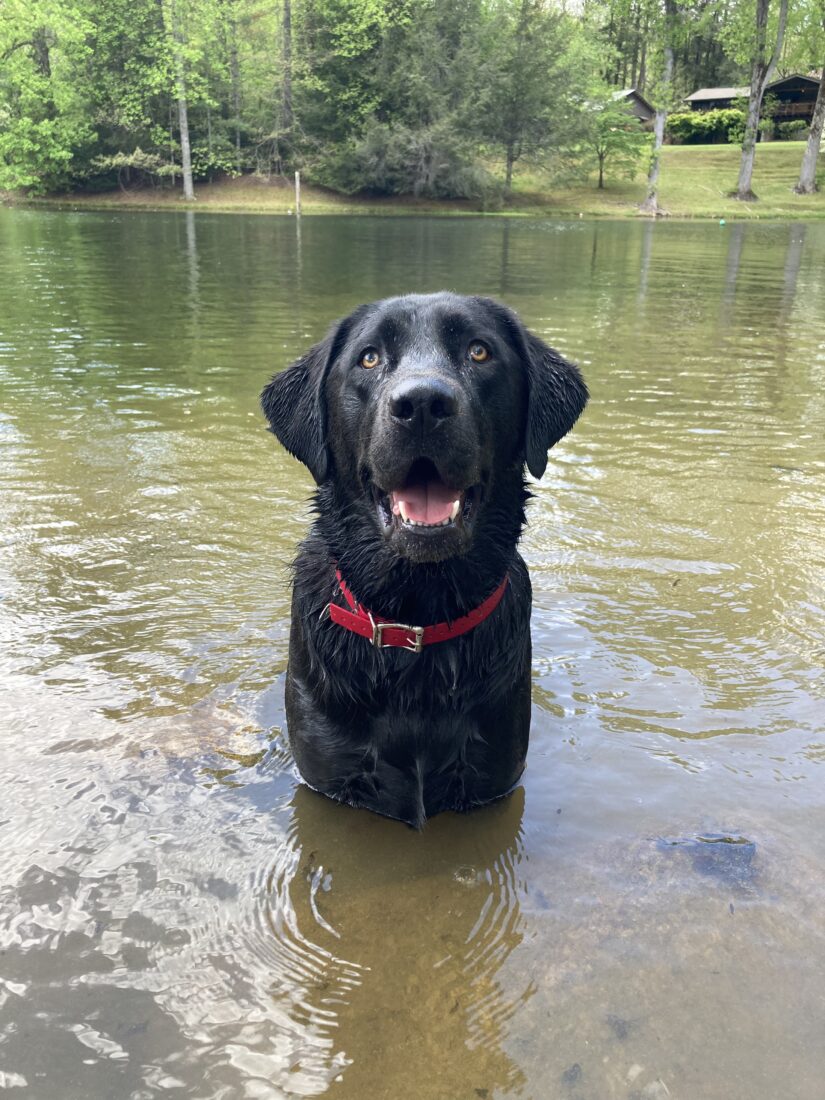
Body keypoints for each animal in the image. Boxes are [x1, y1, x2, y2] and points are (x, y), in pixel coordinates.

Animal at [261, 292, 589, 827]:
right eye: (369, 358)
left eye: (479, 351)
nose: (421, 406)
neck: (415, 615)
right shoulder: (329, 778)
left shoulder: (490, 774)